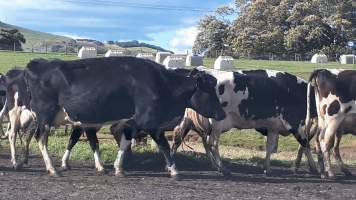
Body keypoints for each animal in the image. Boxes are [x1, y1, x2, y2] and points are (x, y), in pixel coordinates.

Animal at [0, 57, 225, 177]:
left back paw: (25, 162)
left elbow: (123, 143)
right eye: (209, 90)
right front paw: (174, 171)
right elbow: (162, 145)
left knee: (28, 135)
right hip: (40, 114)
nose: (222, 114)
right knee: (35, 137)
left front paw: (118, 168)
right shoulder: (149, 121)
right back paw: (50, 168)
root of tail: (36, 64)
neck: (161, 83)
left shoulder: (131, 122)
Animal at [171, 67, 318, 175]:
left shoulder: (273, 127)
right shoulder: (295, 122)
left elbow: (270, 147)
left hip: (187, 121)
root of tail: (200, 72)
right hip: (217, 122)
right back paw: (222, 168)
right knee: (212, 143)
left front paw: (267, 168)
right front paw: (314, 168)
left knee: (178, 139)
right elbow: (305, 144)